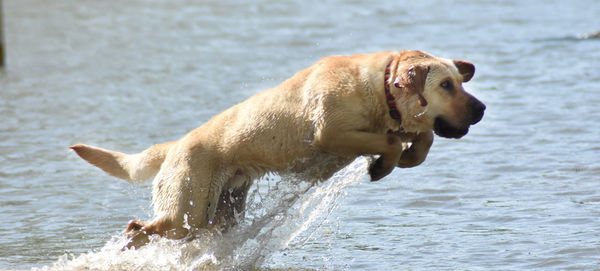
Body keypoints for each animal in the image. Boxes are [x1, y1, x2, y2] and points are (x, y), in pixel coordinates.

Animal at [70, 50, 486, 250]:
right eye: (446, 85)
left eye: (459, 82)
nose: (482, 108)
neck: (380, 88)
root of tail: (175, 145)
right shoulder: (329, 133)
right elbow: (389, 140)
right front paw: (384, 164)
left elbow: (421, 138)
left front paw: (407, 158)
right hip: (184, 212)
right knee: (139, 227)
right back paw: (129, 245)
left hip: (211, 217)